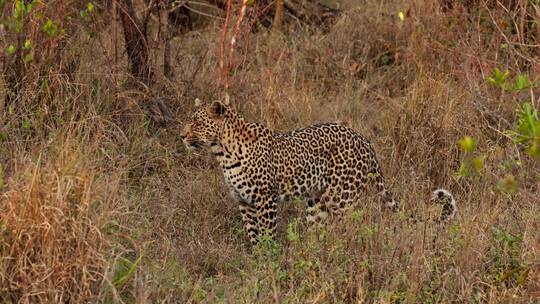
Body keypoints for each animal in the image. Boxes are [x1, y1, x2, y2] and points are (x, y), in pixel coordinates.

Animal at [181, 97, 452, 245]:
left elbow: (268, 233)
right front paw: (257, 260)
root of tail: (364, 140)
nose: (181, 135)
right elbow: (253, 235)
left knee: (352, 225)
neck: (223, 152)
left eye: (197, 122)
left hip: (340, 198)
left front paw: (269, 261)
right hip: (316, 200)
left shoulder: (265, 200)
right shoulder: (244, 202)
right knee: (319, 230)